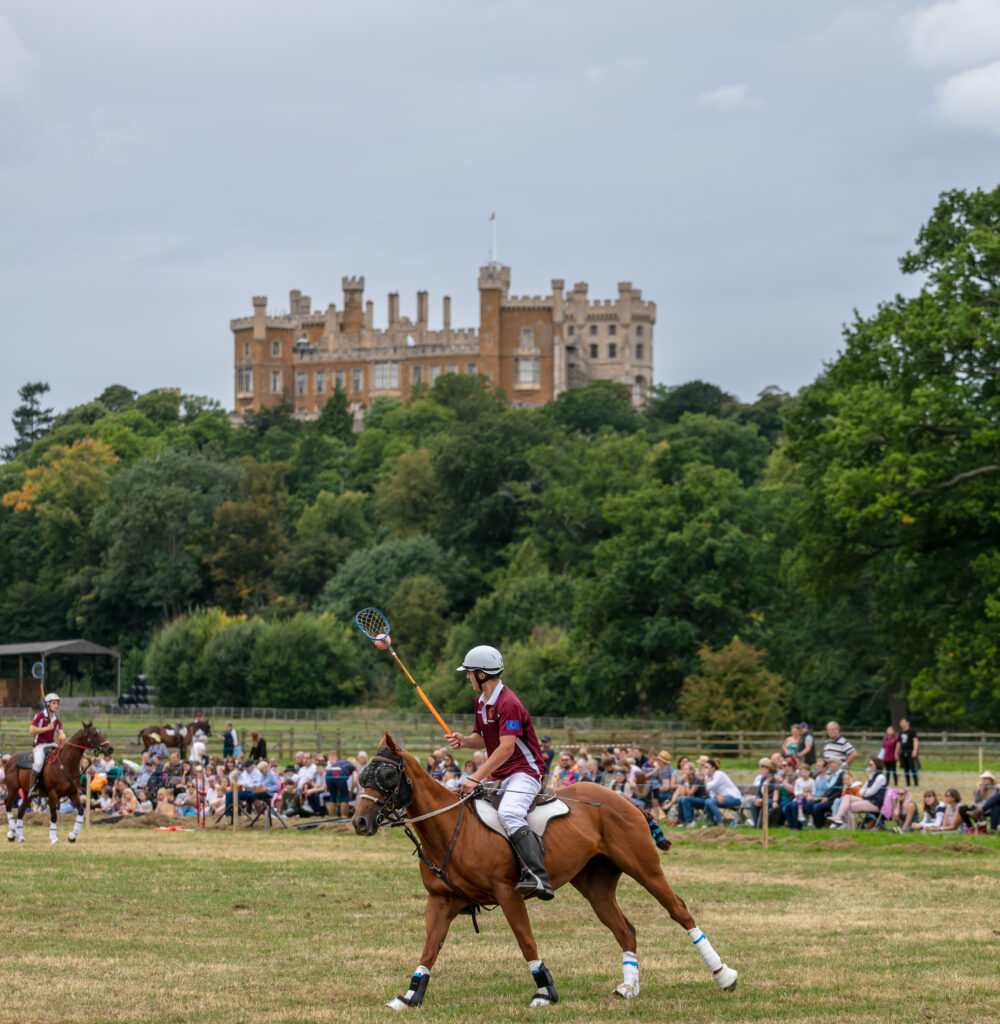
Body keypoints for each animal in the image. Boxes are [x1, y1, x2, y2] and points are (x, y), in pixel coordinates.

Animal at [352, 733, 732, 1011]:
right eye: (363, 775)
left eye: (387, 775)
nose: (360, 821)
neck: (449, 828)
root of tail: (626, 799)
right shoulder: (441, 900)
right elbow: (430, 948)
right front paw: (410, 996)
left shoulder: (508, 893)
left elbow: (526, 941)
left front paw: (545, 991)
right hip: (595, 884)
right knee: (624, 929)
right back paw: (628, 987)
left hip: (645, 868)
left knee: (679, 910)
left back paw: (723, 975)